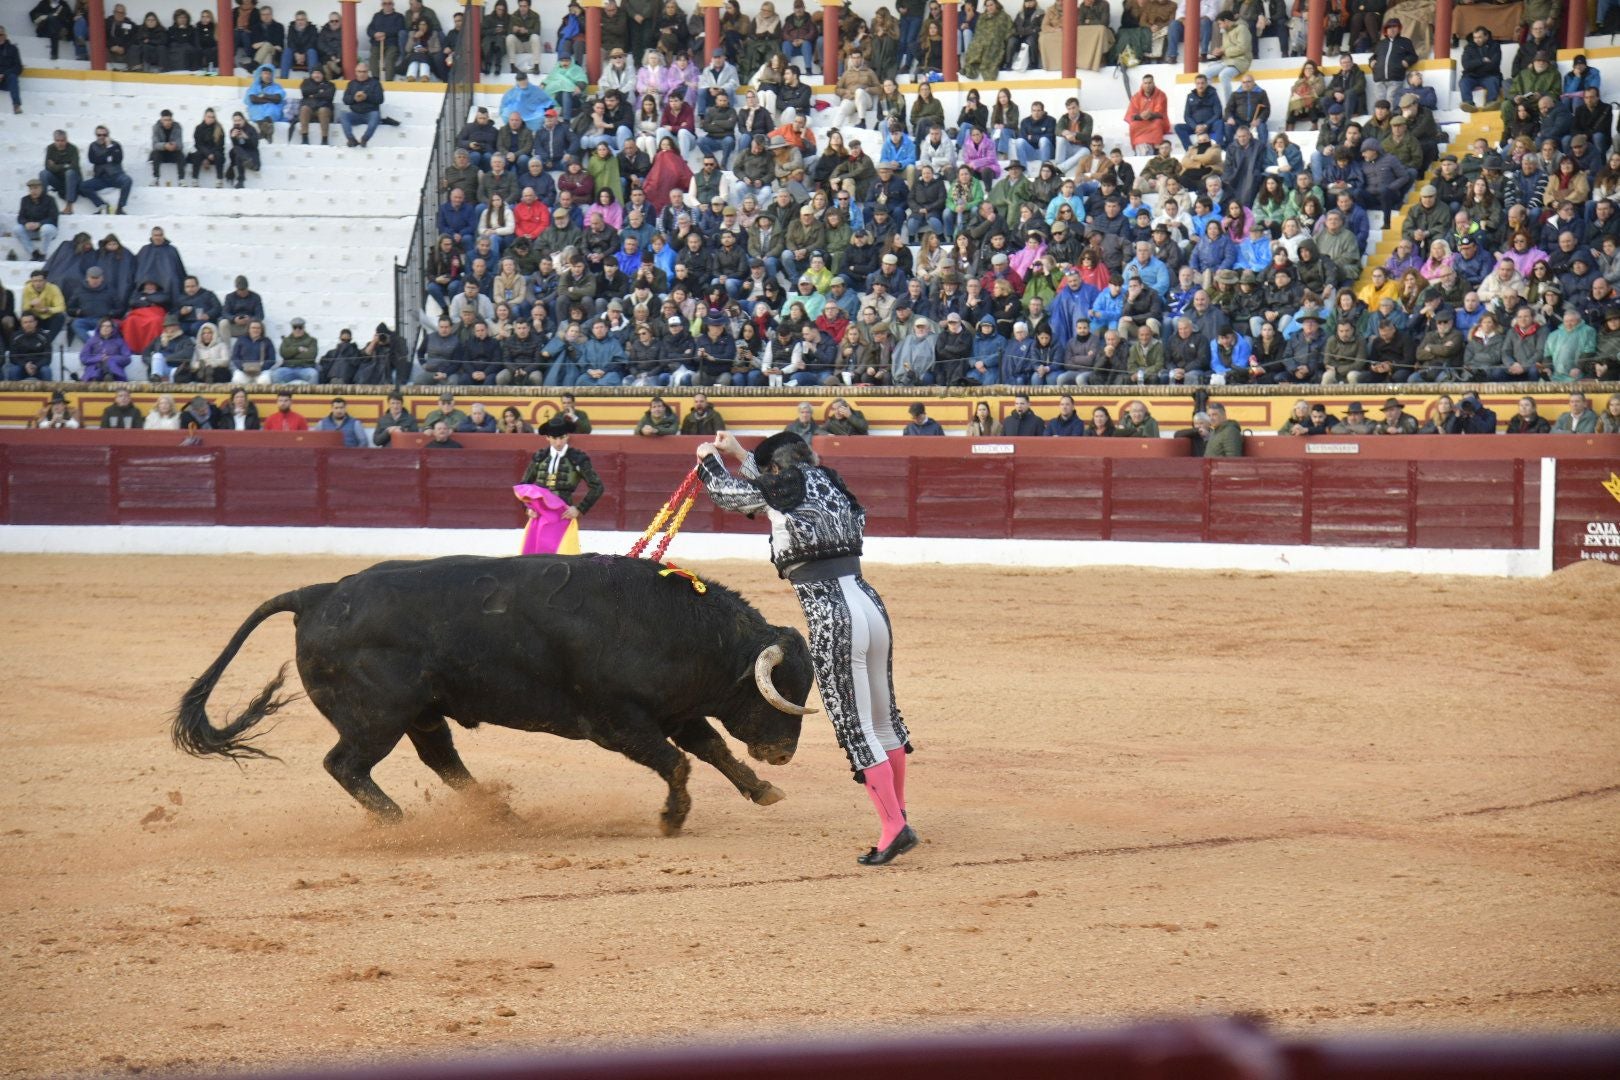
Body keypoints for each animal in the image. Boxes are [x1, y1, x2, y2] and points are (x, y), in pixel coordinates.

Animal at [170, 557, 816, 835]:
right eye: (780, 691)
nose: (784, 753)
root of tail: (318, 593)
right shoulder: (616, 722)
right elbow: (678, 762)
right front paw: (672, 819)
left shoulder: (673, 712)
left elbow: (711, 750)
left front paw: (763, 789)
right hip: (377, 719)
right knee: (345, 764)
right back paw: (399, 821)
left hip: (423, 714)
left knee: (441, 759)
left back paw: (500, 814)